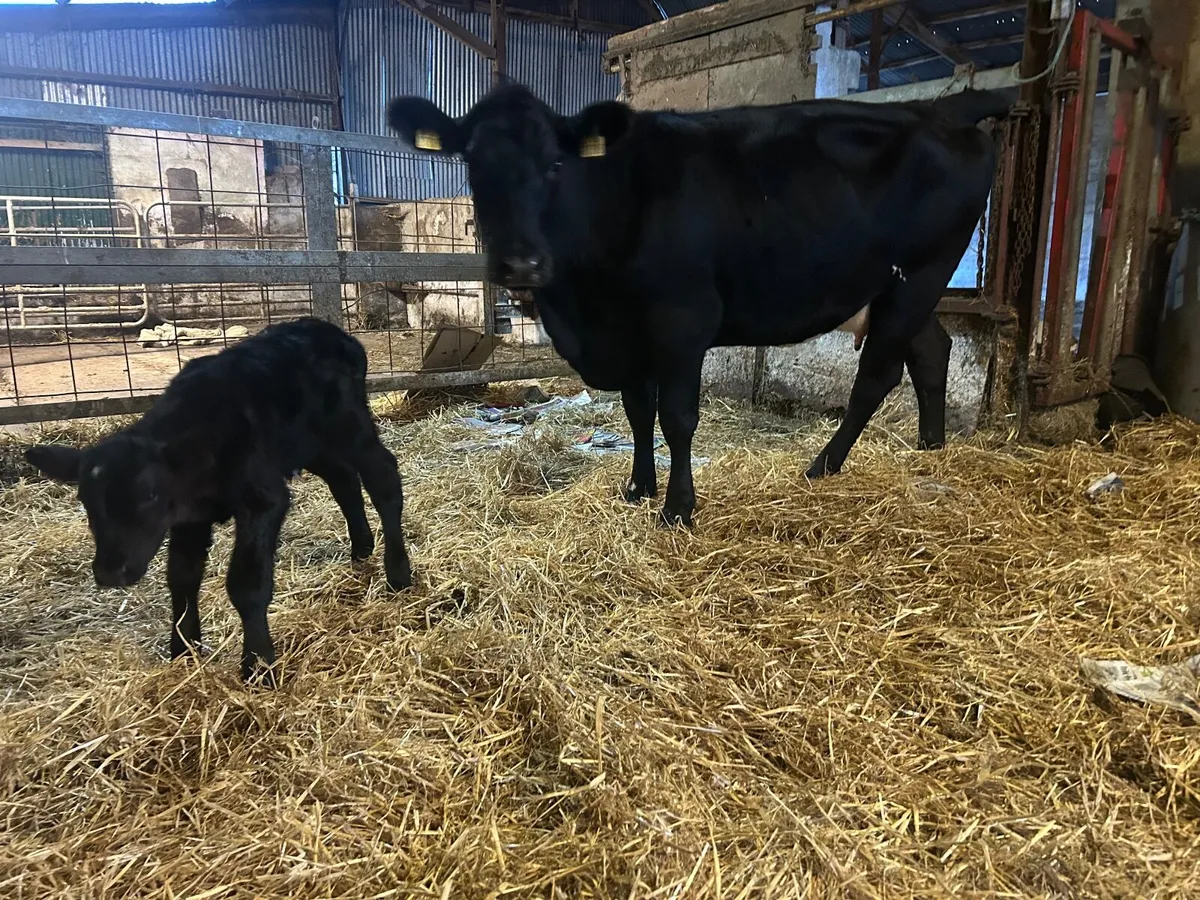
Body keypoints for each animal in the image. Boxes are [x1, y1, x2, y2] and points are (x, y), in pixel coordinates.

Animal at [24, 317, 413, 686]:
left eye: (149, 494)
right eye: (84, 499)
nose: (109, 571)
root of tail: (332, 331)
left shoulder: (261, 500)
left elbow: (245, 583)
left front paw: (257, 666)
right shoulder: (188, 517)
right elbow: (181, 577)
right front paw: (183, 650)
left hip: (349, 425)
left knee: (383, 476)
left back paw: (398, 573)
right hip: (307, 444)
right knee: (343, 478)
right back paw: (361, 548)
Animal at [387, 84, 1009, 527]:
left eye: (555, 164)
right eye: (472, 163)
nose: (519, 264)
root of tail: (942, 108)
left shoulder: (681, 321)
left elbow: (677, 418)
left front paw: (678, 508)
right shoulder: (627, 333)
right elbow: (638, 412)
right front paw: (638, 488)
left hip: (920, 275)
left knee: (877, 374)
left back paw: (823, 466)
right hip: (901, 288)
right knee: (931, 350)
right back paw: (931, 447)